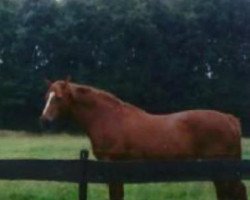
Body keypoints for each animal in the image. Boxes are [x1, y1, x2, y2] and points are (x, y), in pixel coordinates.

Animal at [40, 79, 247, 200]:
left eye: (58, 98)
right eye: (47, 96)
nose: (44, 120)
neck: (108, 117)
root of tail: (230, 119)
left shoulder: (113, 168)